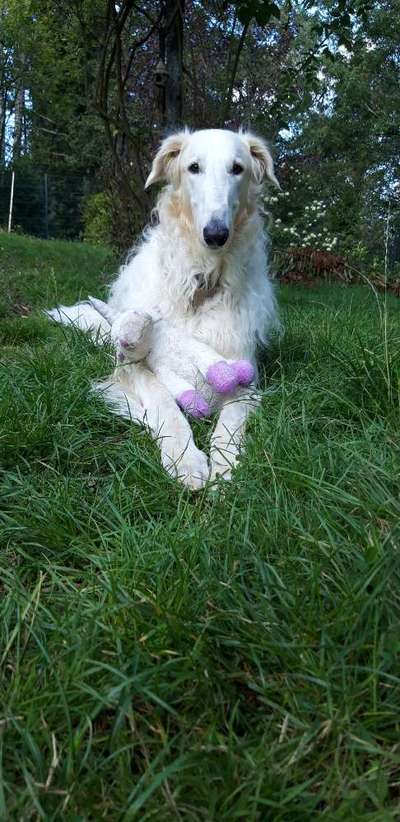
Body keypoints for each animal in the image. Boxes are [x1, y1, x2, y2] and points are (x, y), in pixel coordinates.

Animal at [46, 129, 278, 490]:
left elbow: (231, 421)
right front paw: (186, 459)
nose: (215, 234)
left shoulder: (244, 371)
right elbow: (164, 402)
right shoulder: (133, 364)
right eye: (193, 167)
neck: (201, 279)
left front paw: (224, 469)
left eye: (237, 168)